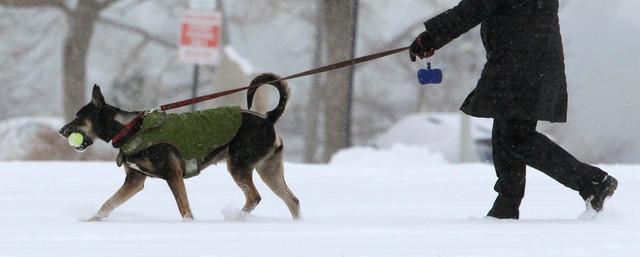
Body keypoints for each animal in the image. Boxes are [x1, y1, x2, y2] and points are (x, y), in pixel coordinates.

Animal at [60, 73, 300, 220]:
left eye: (78, 117)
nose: (62, 131)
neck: (129, 128)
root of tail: (268, 119)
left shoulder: (172, 174)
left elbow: (184, 209)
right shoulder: (135, 181)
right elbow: (108, 204)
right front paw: (90, 220)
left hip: (239, 165)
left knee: (254, 197)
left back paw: (235, 219)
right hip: (269, 170)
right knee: (292, 201)